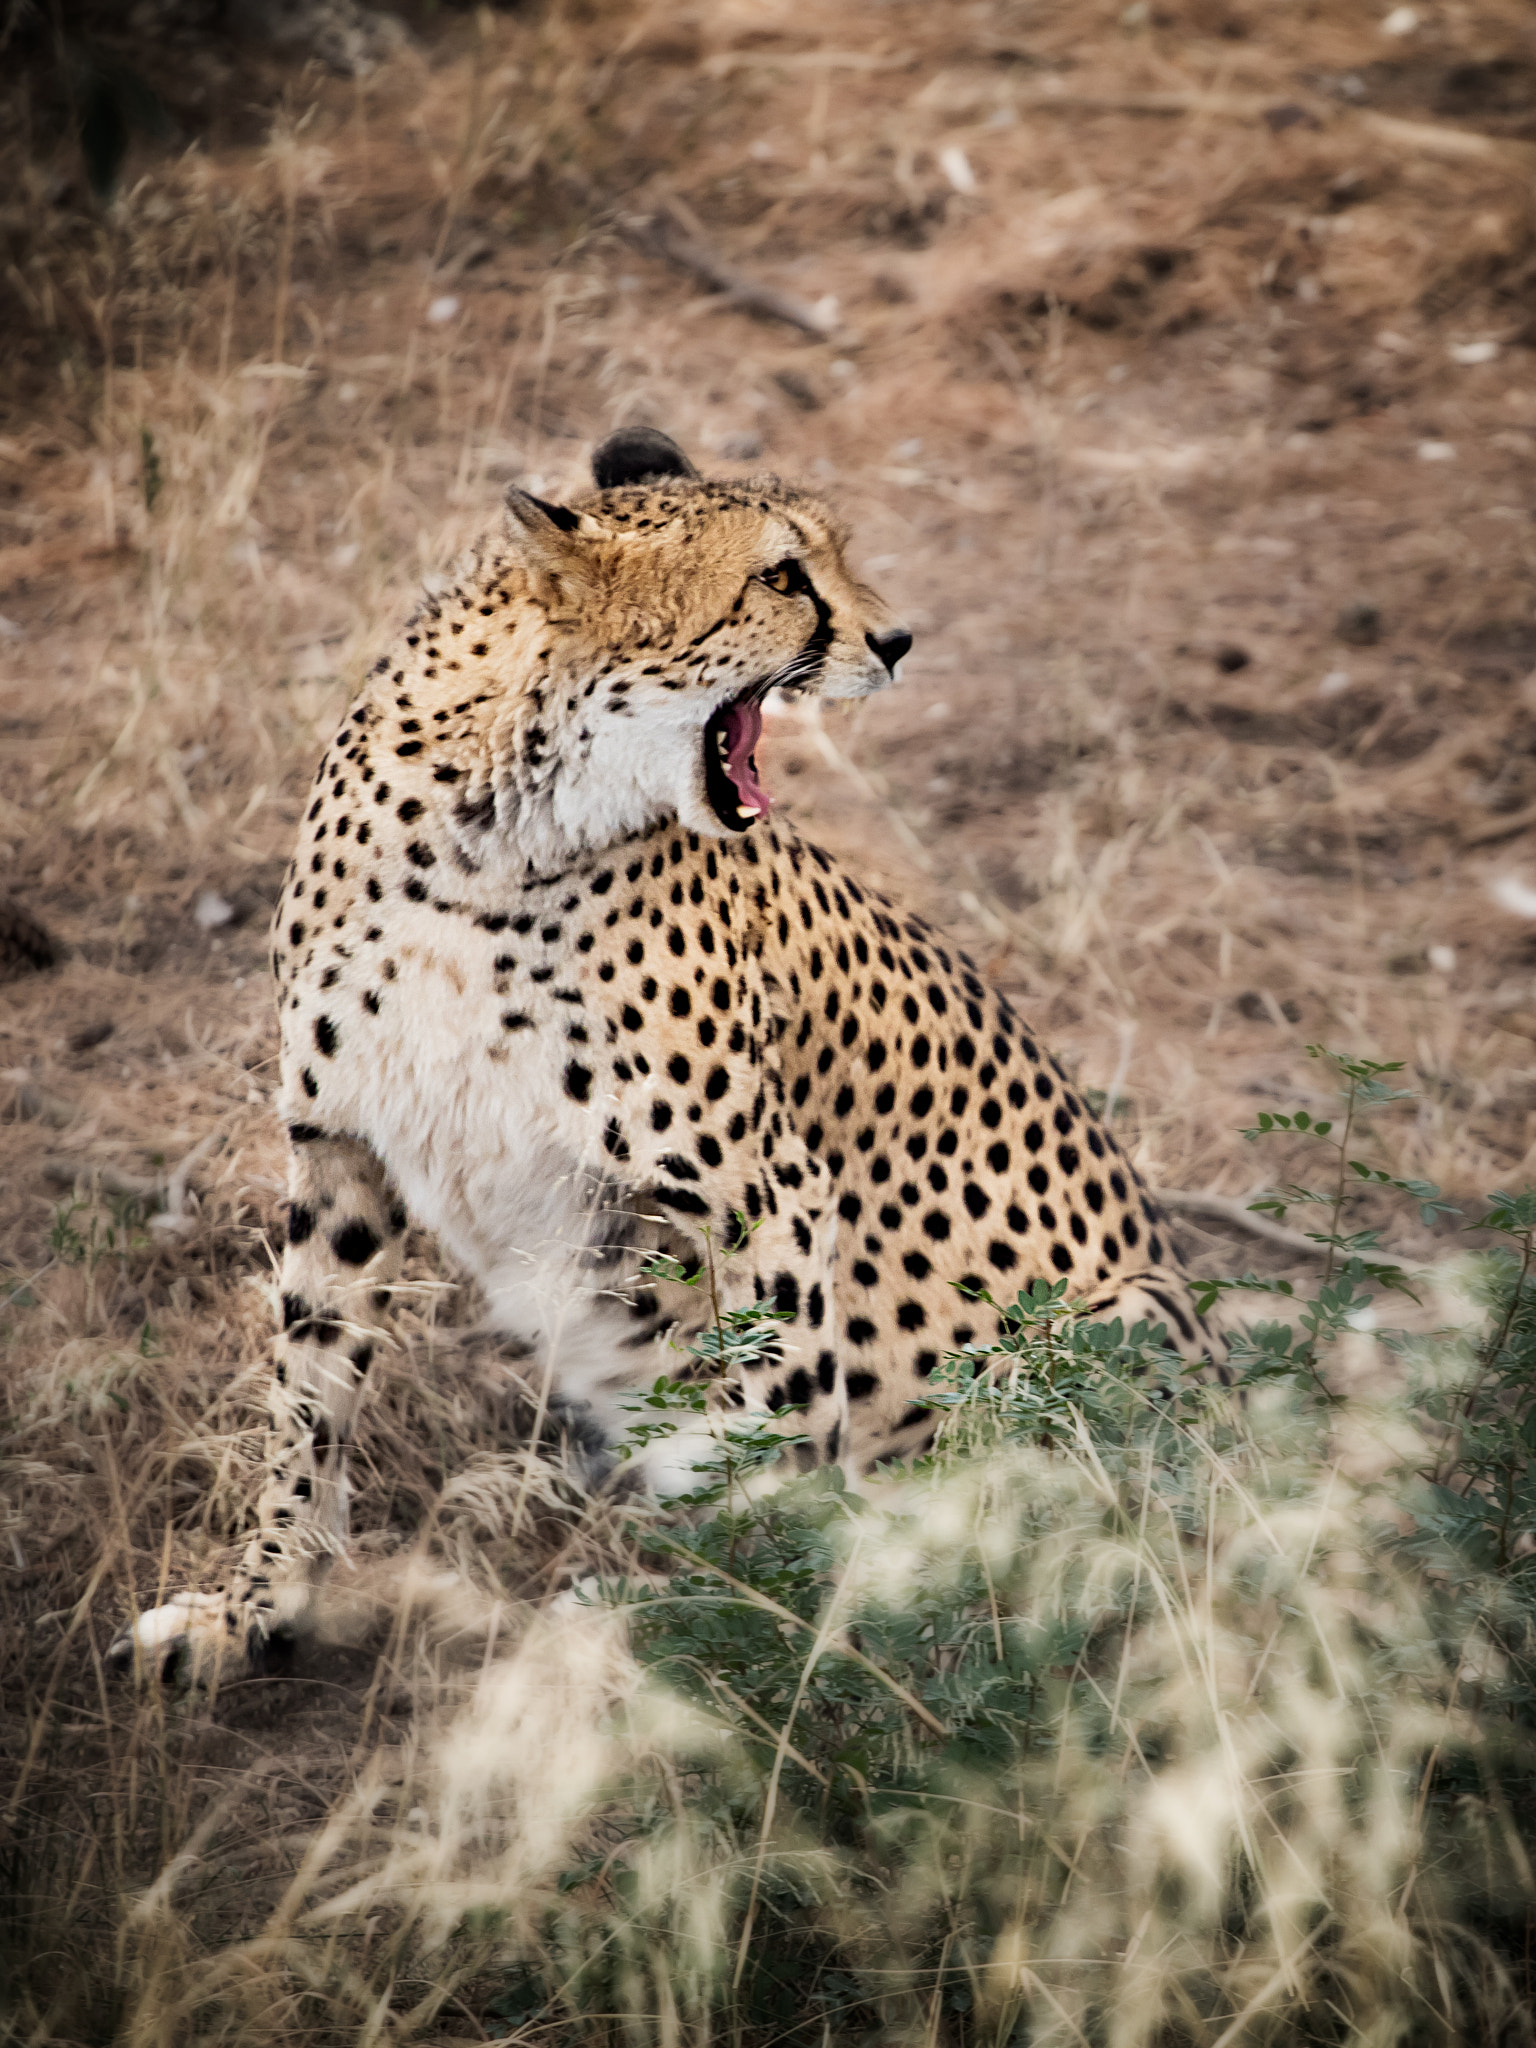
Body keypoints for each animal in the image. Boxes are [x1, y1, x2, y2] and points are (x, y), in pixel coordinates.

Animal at [108, 419, 1220, 1679]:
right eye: (782, 576)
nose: (896, 641)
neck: (489, 832)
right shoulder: (341, 1143)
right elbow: (307, 1395)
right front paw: (256, 1604)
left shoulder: (766, 1196)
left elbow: (780, 1431)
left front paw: (765, 1646)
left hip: (1123, 1313)